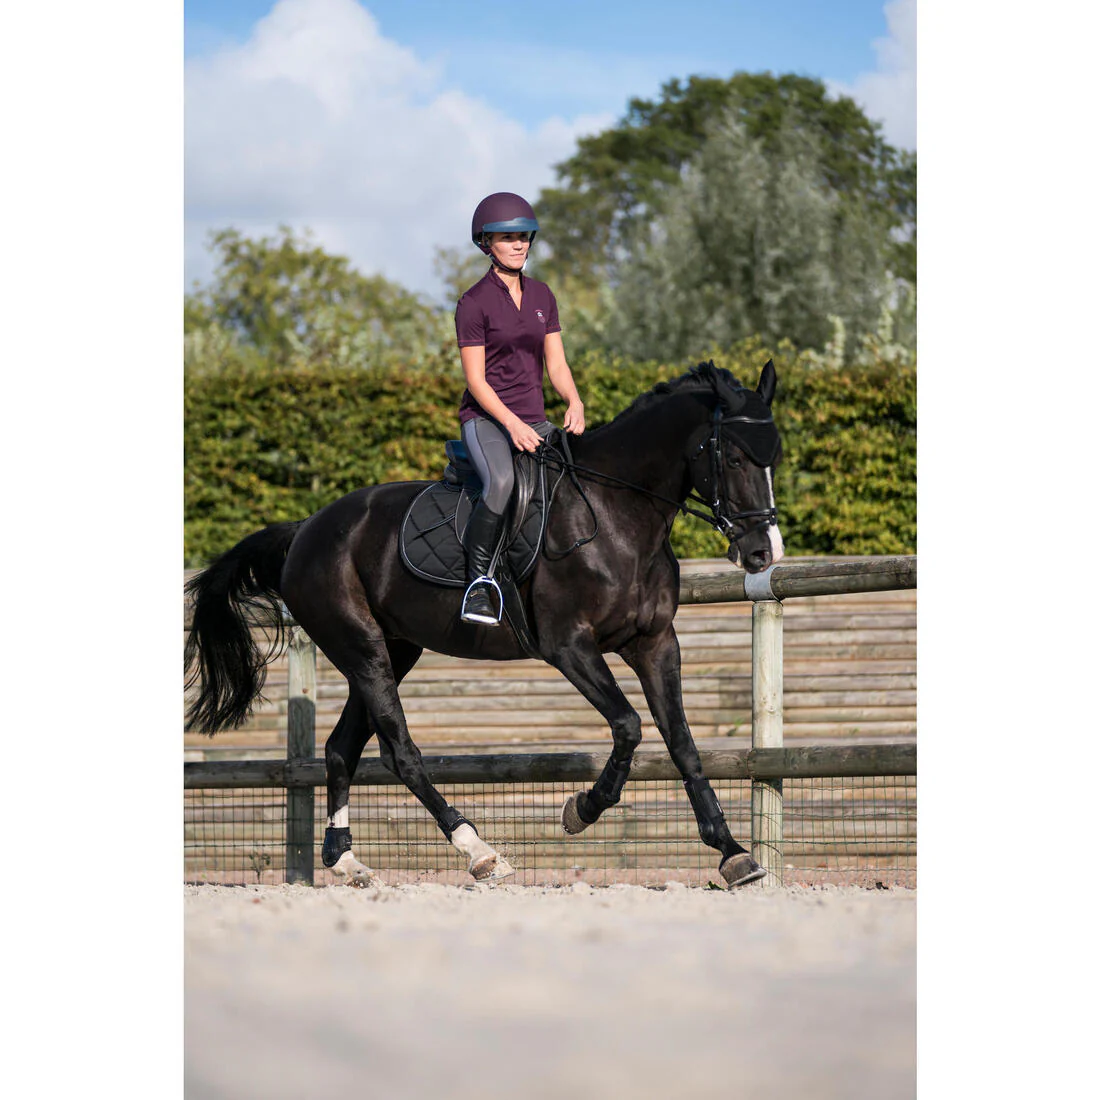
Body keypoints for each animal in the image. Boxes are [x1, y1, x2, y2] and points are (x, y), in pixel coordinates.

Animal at [185, 360, 785, 888]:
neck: (618, 514)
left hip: (391, 651)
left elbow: (681, 741)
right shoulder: (569, 646)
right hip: (361, 648)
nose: (763, 552)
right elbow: (629, 725)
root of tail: (306, 528)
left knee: (340, 748)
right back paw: (479, 851)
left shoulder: (656, 643)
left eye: (773, 459)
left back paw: (348, 862)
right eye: (734, 458)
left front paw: (732, 853)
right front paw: (582, 809)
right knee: (399, 752)